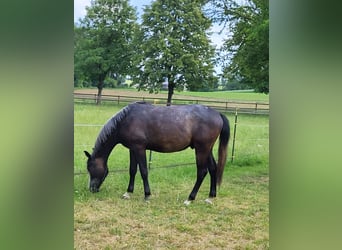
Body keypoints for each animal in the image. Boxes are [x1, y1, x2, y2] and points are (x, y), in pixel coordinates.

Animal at [84, 102, 231, 204]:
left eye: (90, 168)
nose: (92, 189)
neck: (126, 120)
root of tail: (217, 114)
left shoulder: (139, 148)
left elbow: (143, 171)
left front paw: (147, 195)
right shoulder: (132, 149)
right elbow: (132, 170)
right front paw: (128, 193)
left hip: (201, 149)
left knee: (202, 172)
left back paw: (190, 198)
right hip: (207, 149)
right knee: (213, 169)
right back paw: (210, 197)